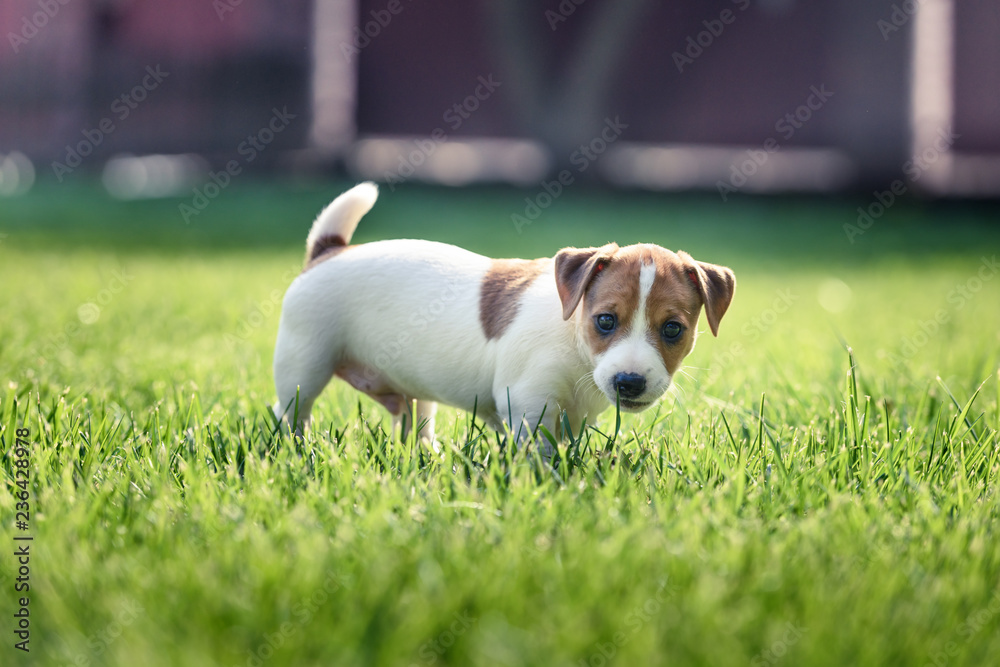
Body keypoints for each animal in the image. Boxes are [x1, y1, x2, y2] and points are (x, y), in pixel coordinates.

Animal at [274, 180, 736, 446]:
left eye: (673, 329)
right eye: (605, 320)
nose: (630, 382)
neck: (573, 340)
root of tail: (330, 252)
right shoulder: (529, 405)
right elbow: (538, 454)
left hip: (412, 392)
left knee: (414, 420)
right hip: (303, 365)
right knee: (290, 413)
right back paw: (295, 450)